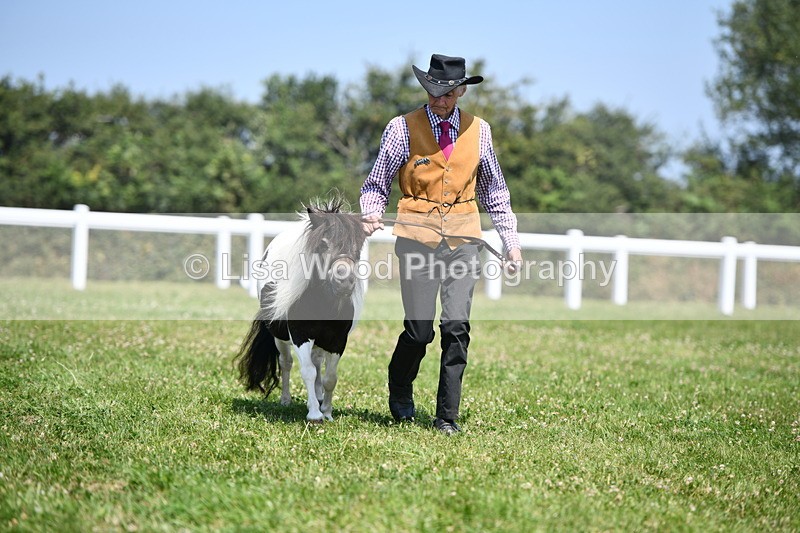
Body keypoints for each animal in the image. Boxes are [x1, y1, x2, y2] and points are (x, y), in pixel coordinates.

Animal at [235, 196, 369, 422]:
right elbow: (307, 371)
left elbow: (330, 378)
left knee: (317, 363)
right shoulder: (299, 336)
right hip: (280, 338)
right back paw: (286, 400)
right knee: (287, 363)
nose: (344, 282)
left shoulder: (337, 341)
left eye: (357, 247)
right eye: (323, 244)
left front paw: (327, 412)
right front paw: (314, 414)